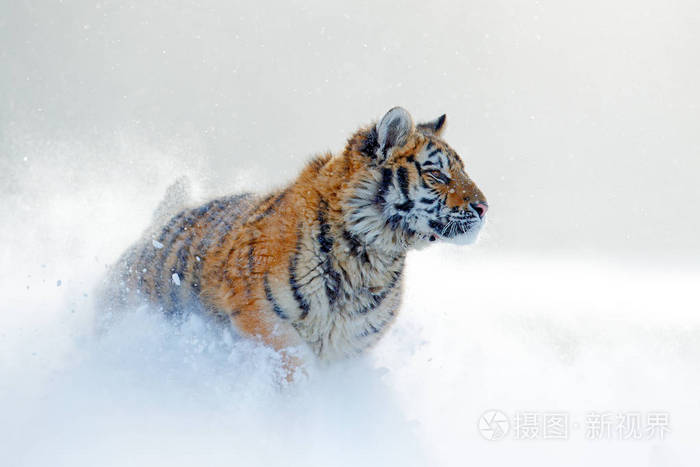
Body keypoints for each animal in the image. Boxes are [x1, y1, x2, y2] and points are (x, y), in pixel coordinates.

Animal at [99, 107, 488, 377]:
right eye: (437, 174)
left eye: (463, 170)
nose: (484, 207)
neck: (371, 257)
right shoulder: (262, 319)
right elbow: (292, 366)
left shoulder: (348, 346)